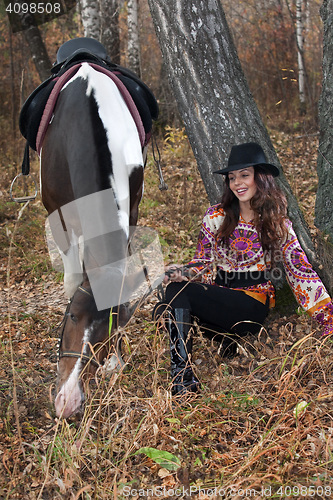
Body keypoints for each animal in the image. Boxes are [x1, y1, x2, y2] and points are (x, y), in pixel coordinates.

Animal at [20, 37, 158, 416]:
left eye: (110, 330)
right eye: (69, 317)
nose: (68, 403)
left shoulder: (132, 208)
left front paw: (115, 361)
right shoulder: (58, 218)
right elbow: (71, 279)